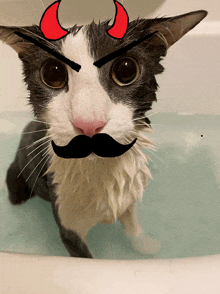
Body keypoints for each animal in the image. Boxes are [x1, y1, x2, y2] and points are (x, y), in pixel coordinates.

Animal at [0, 8, 207, 258]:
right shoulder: (68, 225)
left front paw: (144, 244)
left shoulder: (127, 194)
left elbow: (132, 223)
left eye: (126, 70)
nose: (89, 123)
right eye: (52, 73)